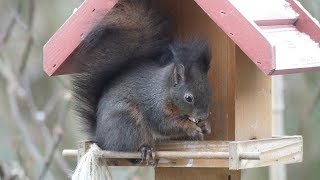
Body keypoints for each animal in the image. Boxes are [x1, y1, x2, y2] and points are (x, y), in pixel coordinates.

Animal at [72, 0, 212, 162]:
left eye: (209, 91)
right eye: (188, 98)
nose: (203, 116)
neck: (164, 90)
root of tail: (100, 138)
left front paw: (206, 126)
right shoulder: (155, 109)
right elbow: (168, 125)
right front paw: (192, 128)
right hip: (127, 122)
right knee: (127, 148)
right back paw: (144, 149)